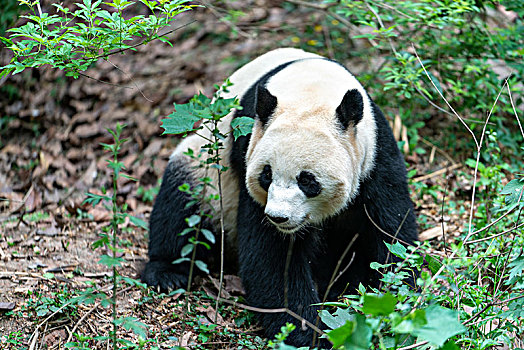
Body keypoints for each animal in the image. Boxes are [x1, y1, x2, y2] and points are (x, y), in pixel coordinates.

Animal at [142, 47, 418, 348]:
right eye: (267, 174)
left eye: (307, 180)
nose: (279, 217)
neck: (311, 90)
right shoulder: (247, 145)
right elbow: (273, 257)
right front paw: (308, 333)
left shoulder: (374, 155)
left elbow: (390, 229)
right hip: (205, 173)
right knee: (180, 206)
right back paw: (166, 273)